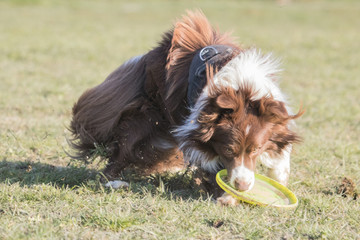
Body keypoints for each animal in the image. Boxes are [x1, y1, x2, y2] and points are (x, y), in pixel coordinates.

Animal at [69, 9, 302, 204]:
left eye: (256, 149)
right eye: (228, 149)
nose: (243, 186)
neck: (242, 91)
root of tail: (148, 57)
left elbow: (281, 152)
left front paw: (278, 179)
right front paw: (226, 196)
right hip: (145, 116)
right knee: (123, 150)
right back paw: (113, 182)